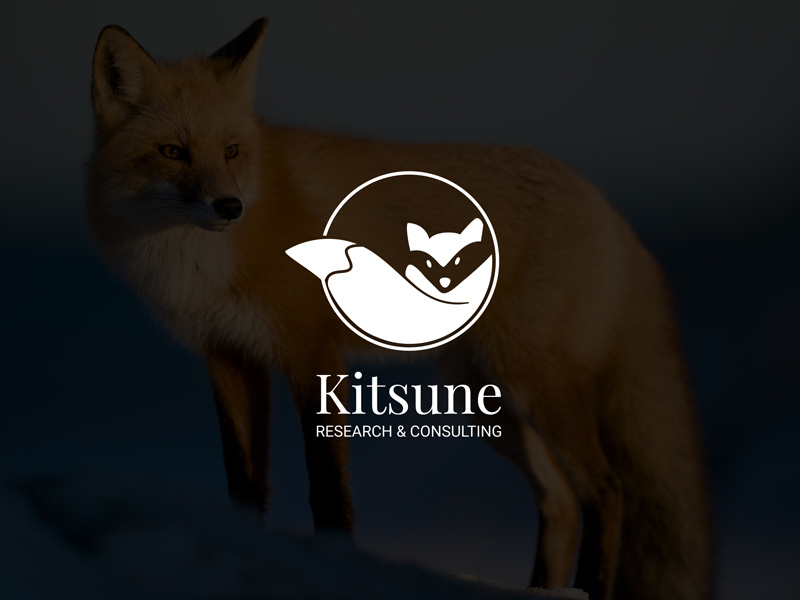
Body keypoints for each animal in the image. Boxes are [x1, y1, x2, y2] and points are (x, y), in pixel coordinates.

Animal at [86, 18, 713, 600]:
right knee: (560, 500)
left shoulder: (312, 352)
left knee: (607, 491)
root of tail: (605, 205)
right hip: (483, 398)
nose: (229, 207)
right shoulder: (229, 356)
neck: (202, 264)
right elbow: (244, 483)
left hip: (534, 383)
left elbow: (327, 486)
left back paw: (591, 588)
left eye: (232, 151)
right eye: (173, 152)